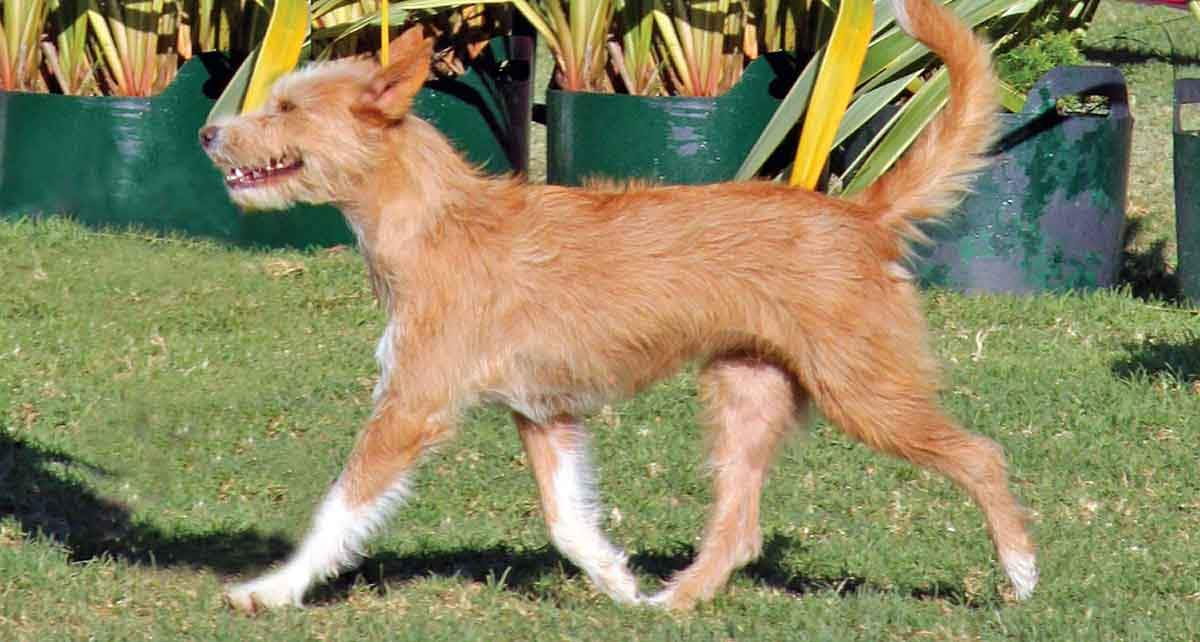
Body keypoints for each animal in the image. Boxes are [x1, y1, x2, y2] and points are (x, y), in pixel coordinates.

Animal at [201, 0, 1036, 612]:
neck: (436, 219)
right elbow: (570, 522)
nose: (209, 133)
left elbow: (338, 510)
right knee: (738, 529)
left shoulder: (411, 406)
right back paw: (669, 605)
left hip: (864, 393)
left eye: (286, 108)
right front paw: (616, 580)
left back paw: (1021, 572)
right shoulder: (544, 414)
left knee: (981, 456)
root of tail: (860, 215)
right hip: (745, 395)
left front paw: (269, 590)